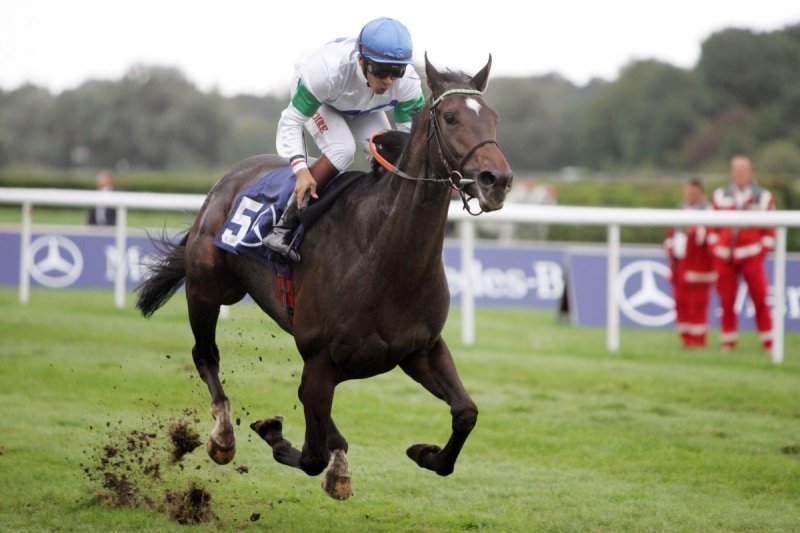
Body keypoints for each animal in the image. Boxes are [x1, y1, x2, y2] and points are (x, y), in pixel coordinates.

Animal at [136, 54, 513, 499]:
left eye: (493, 117)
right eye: (451, 117)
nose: (497, 181)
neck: (384, 257)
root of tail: (227, 180)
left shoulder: (420, 349)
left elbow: (465, 413)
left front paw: (424, 452)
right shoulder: (320, 358)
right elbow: (311, 457)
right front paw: (276, 434)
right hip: (206, 289)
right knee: (205, 355)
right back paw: (224, 437)